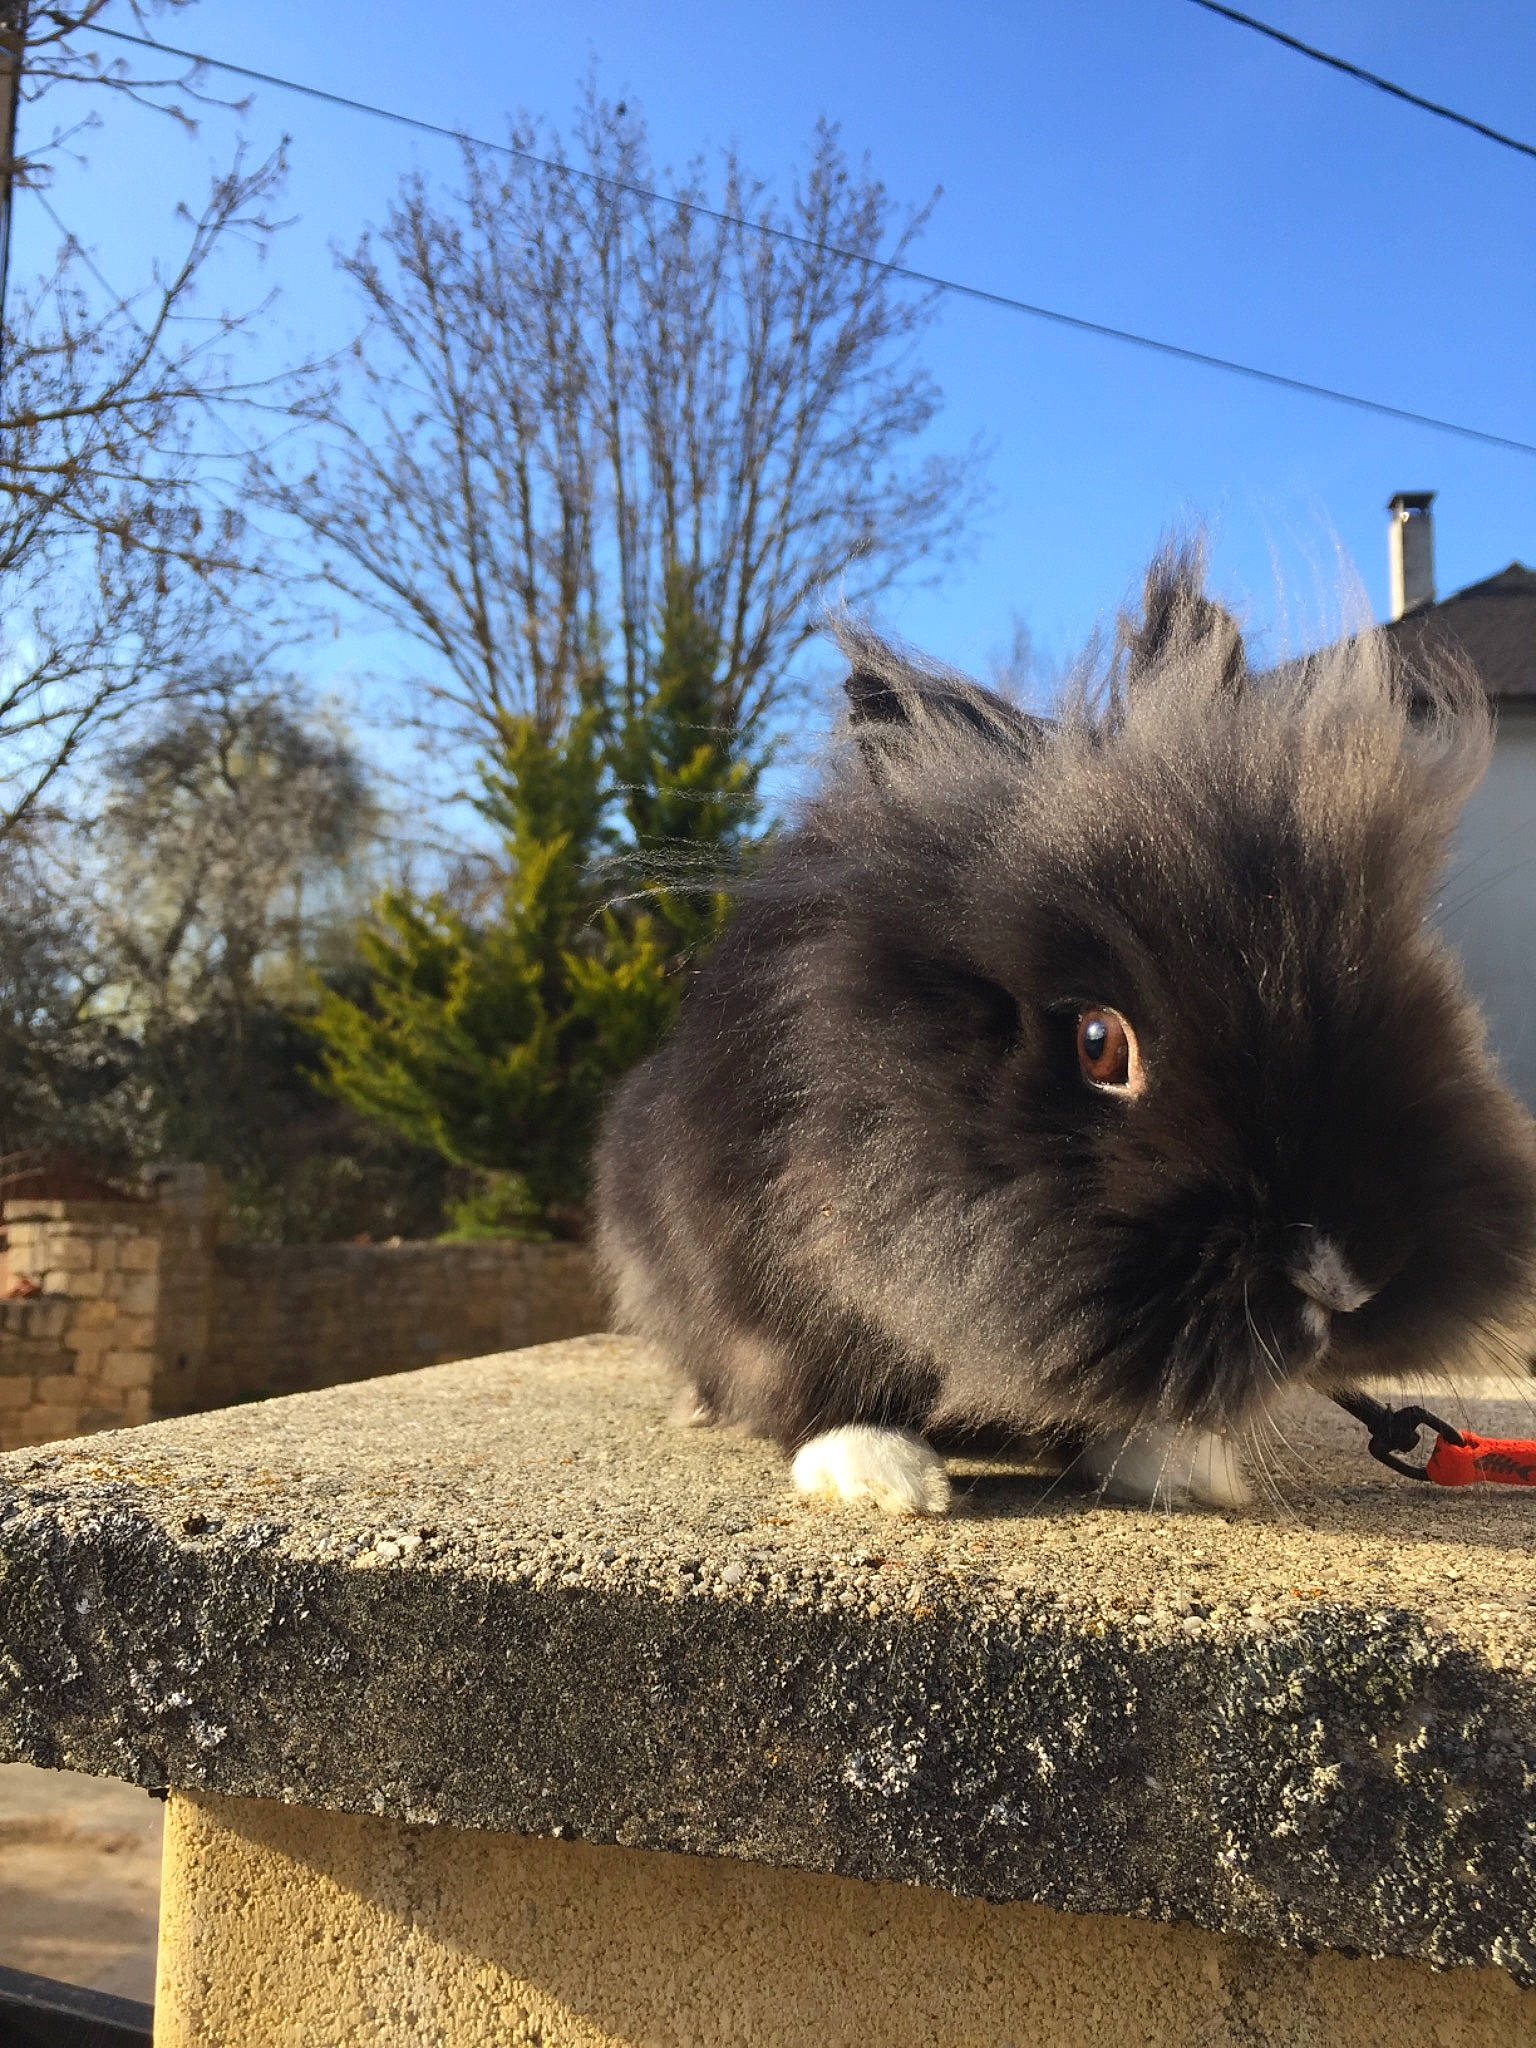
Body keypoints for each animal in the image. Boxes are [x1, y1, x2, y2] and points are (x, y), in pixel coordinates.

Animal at [594, 548, 1536, 1513]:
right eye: (1099, 1043)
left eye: (1406, 980)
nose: (1343, 1278)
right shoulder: (755, 1263)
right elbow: (806, 1373)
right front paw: (884, 1475)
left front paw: (1171, 1461)